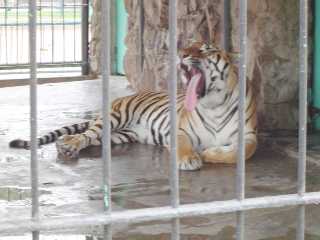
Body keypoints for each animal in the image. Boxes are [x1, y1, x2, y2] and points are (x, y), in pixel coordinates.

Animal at [9, 42, 258, 172]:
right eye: (189, 45)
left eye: (205, 49)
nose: (181, 54)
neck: (214, 104)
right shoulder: (180, 131)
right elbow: (184, 146)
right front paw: (190, 158)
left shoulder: (249, 136)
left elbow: (241, 152)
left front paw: (209, 153)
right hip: (112, 117)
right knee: (84, 134)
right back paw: (67, 145)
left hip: (119, 135)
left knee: (89, 139)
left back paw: (65, 146)